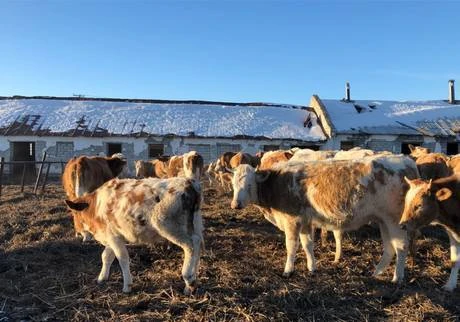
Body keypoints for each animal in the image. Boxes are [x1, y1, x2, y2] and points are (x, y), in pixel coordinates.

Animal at [64, 177, 203, 296]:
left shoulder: (113, 238)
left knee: (190, 246)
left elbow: (122, 258)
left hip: (168, 225)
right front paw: (102, 277)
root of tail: (189, 183)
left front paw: (127, 286)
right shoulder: (113, 236)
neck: (96, 206)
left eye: (74, 213)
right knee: (197, 243)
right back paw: (192, 281)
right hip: (195, 224)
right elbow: (106, 256)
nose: (77, 230)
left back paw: (188, 278)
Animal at [232, 155, 418, 284]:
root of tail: (406, 160)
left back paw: (397, 278)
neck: (277, 182)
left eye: (249, 185)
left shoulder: (292, 220)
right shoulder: (305, 221)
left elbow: (291, 246)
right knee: (389, 247)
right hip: (383, 221)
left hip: (394, 221)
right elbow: (307, 244)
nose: (236, 204)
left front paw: (288, 270)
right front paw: (312, 267)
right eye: (233, 185)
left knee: (401, 247)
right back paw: (377, 272)